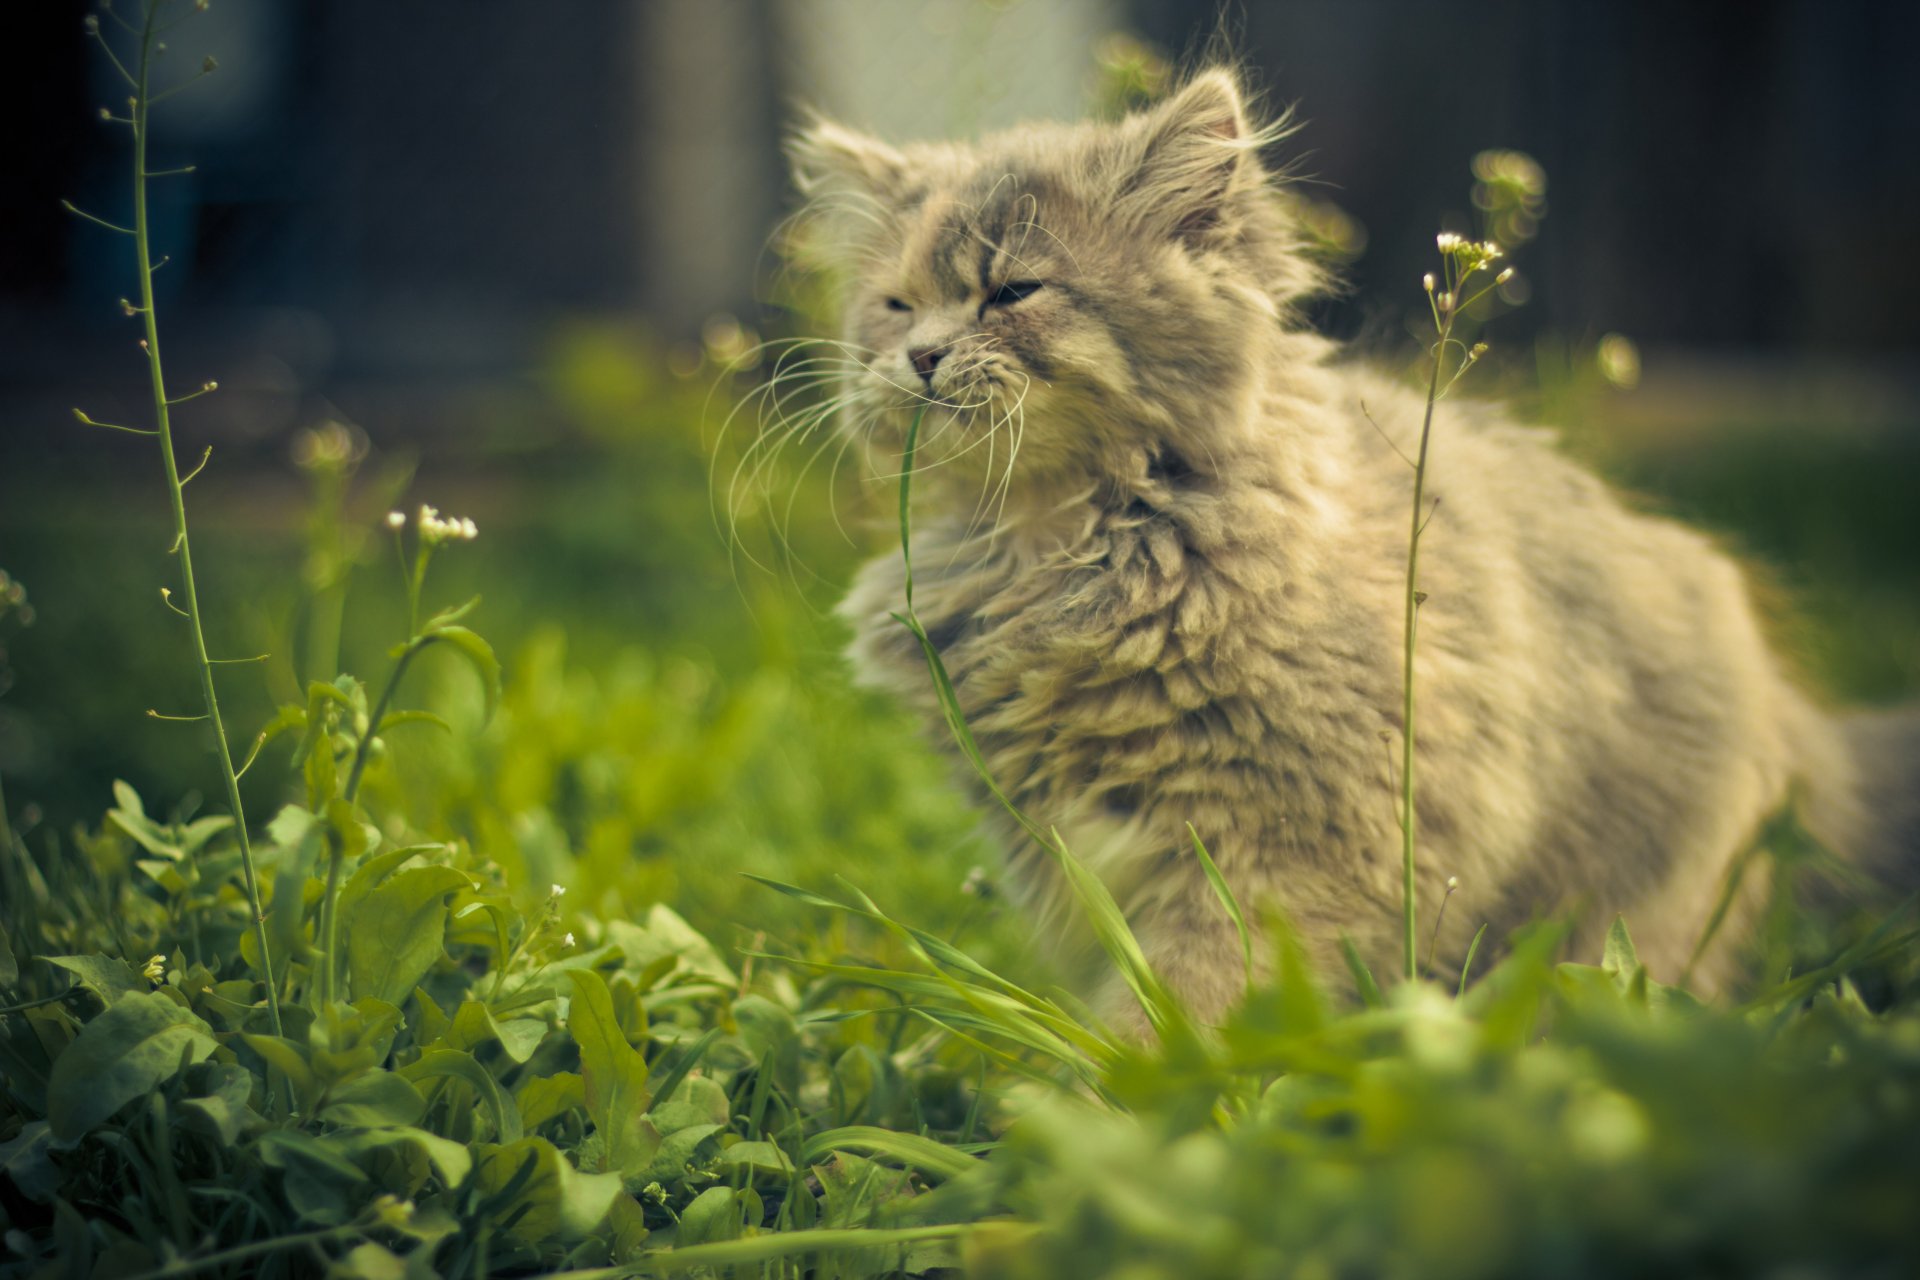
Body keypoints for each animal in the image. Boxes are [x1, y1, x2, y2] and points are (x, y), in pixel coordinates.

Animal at [783, 70, 1920, 1028]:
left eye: (1012, 292)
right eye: (895, 306)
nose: (921, 356)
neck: (1057, 550)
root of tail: (1801, 726)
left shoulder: (1293, 844)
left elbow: (1188, 1005)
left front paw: (1121, 1105)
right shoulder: (1070, 847)